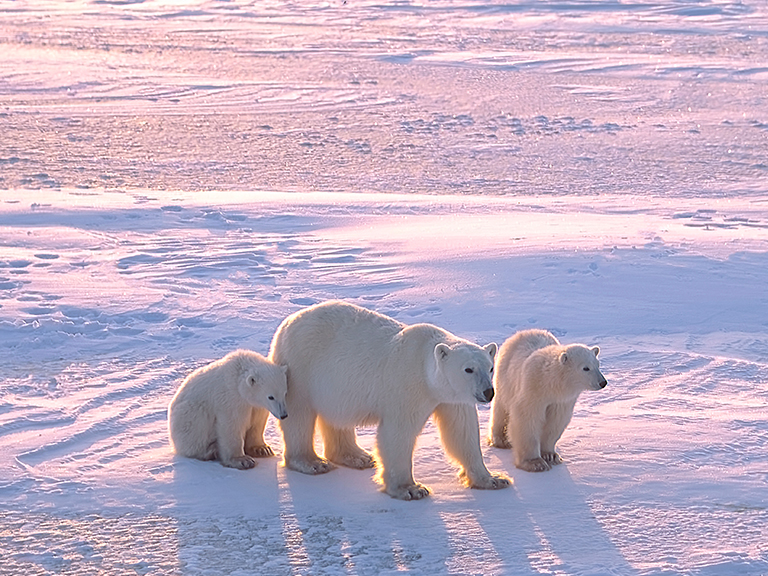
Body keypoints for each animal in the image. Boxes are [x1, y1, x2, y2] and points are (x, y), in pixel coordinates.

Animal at [270, 302, 510, 500]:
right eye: (468, 369)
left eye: (490, 367)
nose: (488, 392)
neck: (425, 366)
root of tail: (287, 323)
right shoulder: (408, 386)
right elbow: (398, 433)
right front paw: (411, 489)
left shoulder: (451, 397)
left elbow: (461, 433)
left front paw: (493, 479)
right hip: (300, 368)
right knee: (299, 415)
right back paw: (312, 462)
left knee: (337, 417)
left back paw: (357, 457)